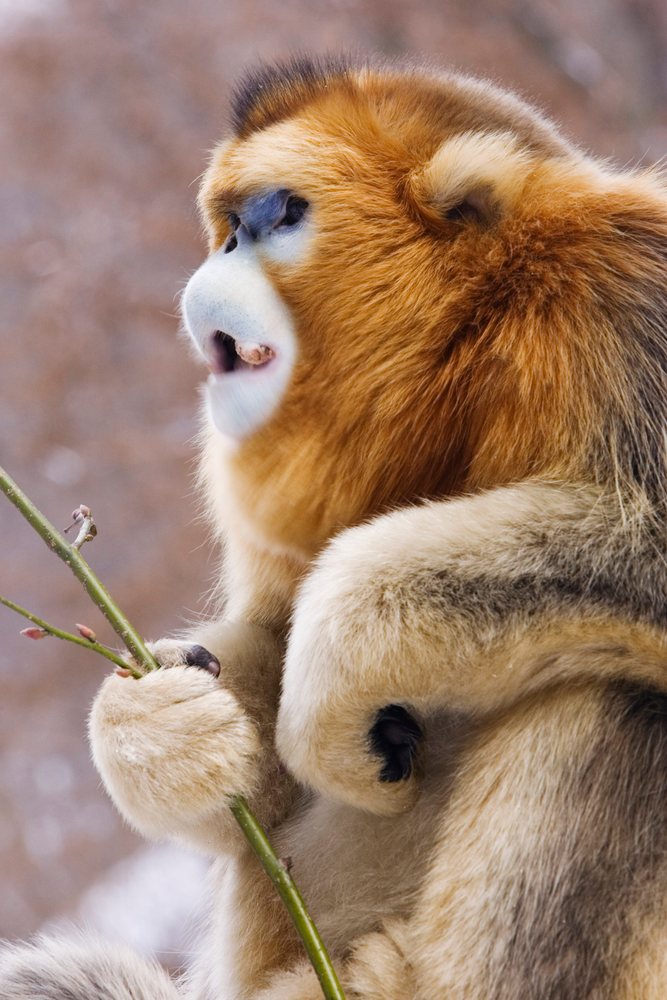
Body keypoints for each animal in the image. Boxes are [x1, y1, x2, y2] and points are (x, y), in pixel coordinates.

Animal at [2, 54, 667, 999]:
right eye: (227, 229)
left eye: (280, 214)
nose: (219, 259)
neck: (480, 336)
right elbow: (264, 659)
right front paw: (160, 725)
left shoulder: (625, 295)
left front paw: (342, 653)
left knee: (621, 695)